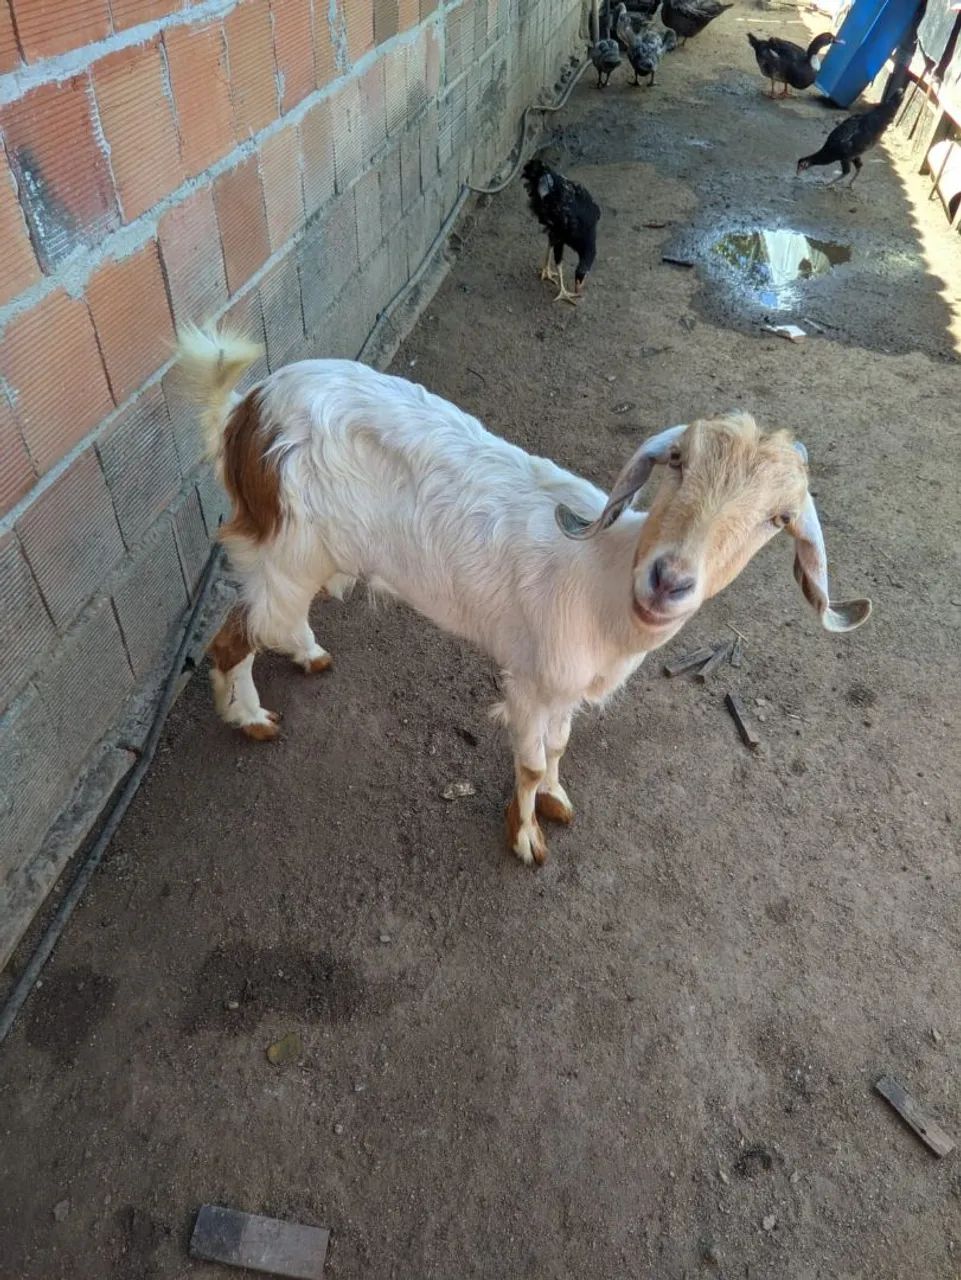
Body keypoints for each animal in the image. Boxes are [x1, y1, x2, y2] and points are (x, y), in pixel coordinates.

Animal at [176, 326, 872, 867]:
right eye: (676, 460)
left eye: (778, 519)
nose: (669, 579)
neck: (603, 578)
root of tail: (245, 410)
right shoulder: (534, 680)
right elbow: (533, 762)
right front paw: (526, 836)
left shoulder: (565, 687)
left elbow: (560, 748)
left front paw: (556, 804)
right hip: (288, 549)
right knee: (233, 636)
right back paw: (253, 720)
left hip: (305, 557)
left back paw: (308, 655)